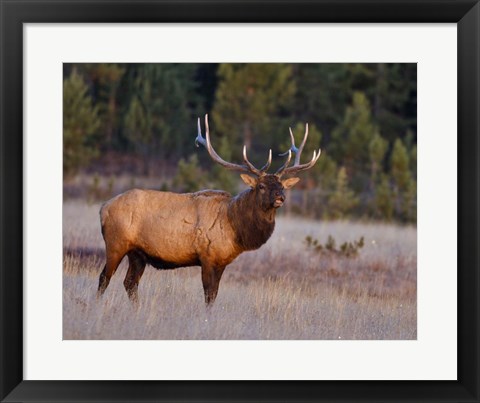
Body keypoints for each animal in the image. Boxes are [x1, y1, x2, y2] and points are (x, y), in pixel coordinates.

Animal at [97, 115, 320, 304]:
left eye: (282, 186)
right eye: (262, 186)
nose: (280, 197)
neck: (235, 229)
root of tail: (103, 207)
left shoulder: (222, 262)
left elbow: (214, 295)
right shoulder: (207, 256)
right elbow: (208, 294)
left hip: (138, 254)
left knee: (130, 283)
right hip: (116, 243)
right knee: (104, 278)